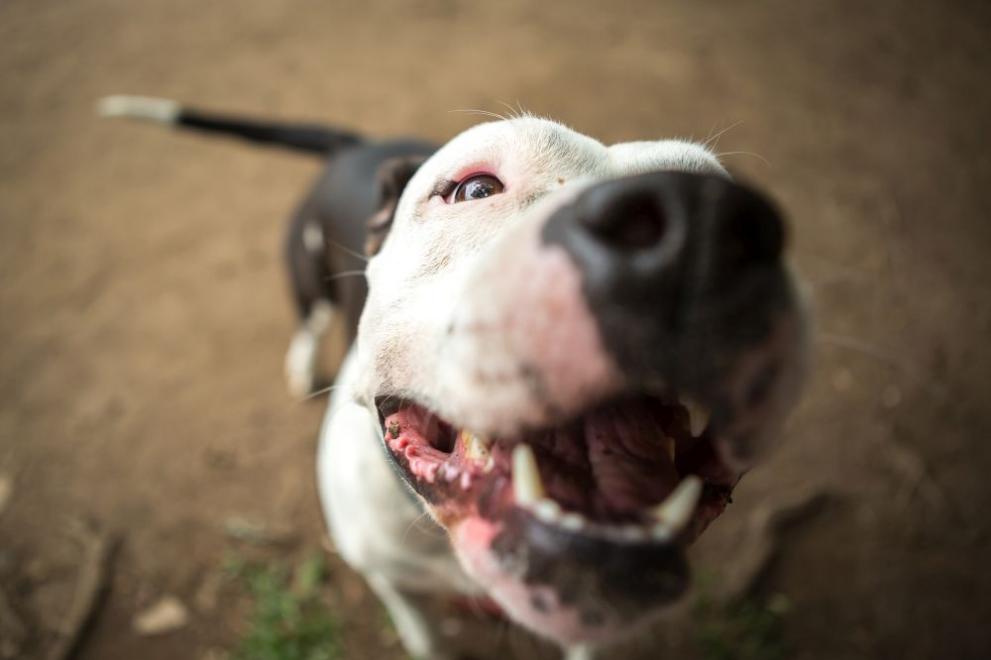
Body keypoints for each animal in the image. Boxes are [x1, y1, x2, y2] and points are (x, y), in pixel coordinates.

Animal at [101, 95, 808, 656]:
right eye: (474, 189)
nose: (700, 224)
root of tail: (358, 145)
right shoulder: (393, 583)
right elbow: (425, 638)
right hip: (307, 277)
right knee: (306, 322)